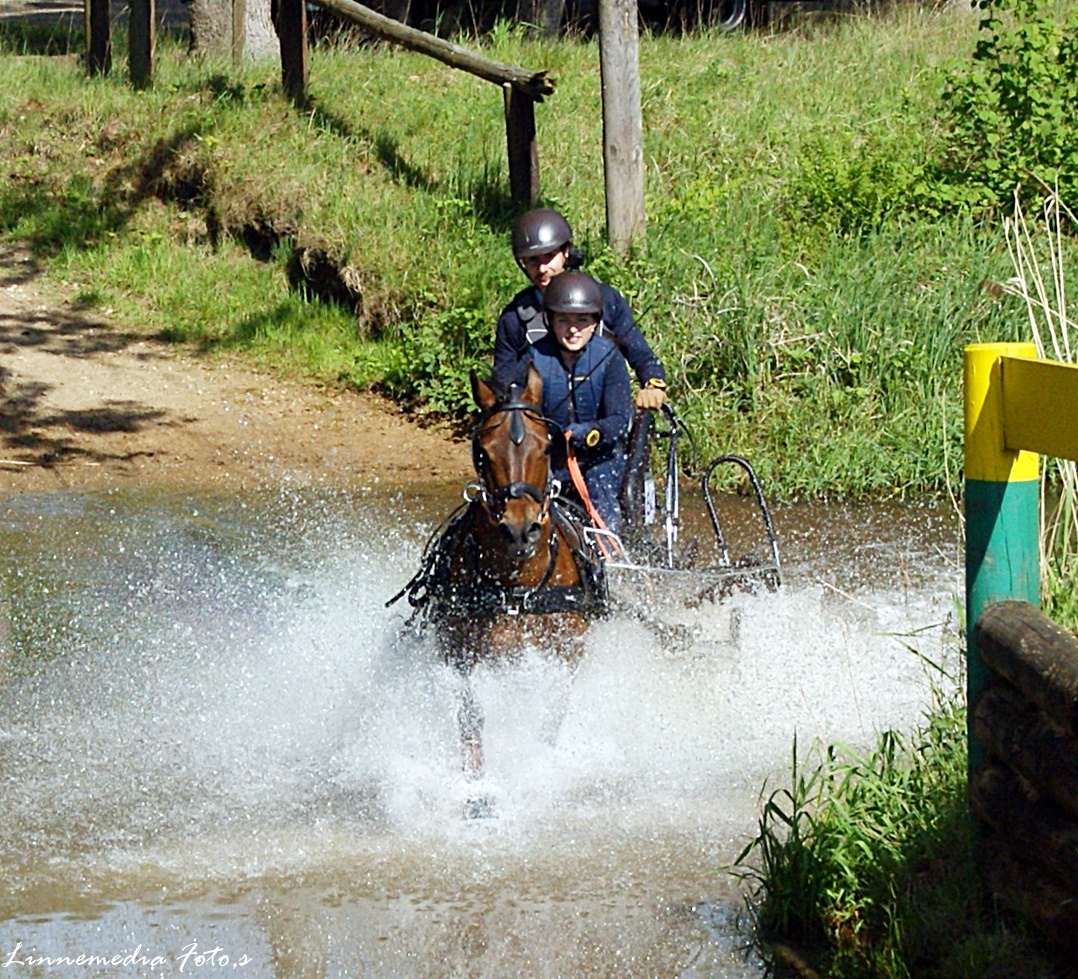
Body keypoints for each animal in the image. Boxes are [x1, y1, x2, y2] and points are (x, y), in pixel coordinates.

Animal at [388, 364, 607, 789]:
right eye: (483, 452)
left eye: (546, 447)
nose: (520, 530)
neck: (516, 587)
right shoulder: (458, 649)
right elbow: (471, 713)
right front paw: (476, 787)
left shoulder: (567, 648)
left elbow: (552, 712)